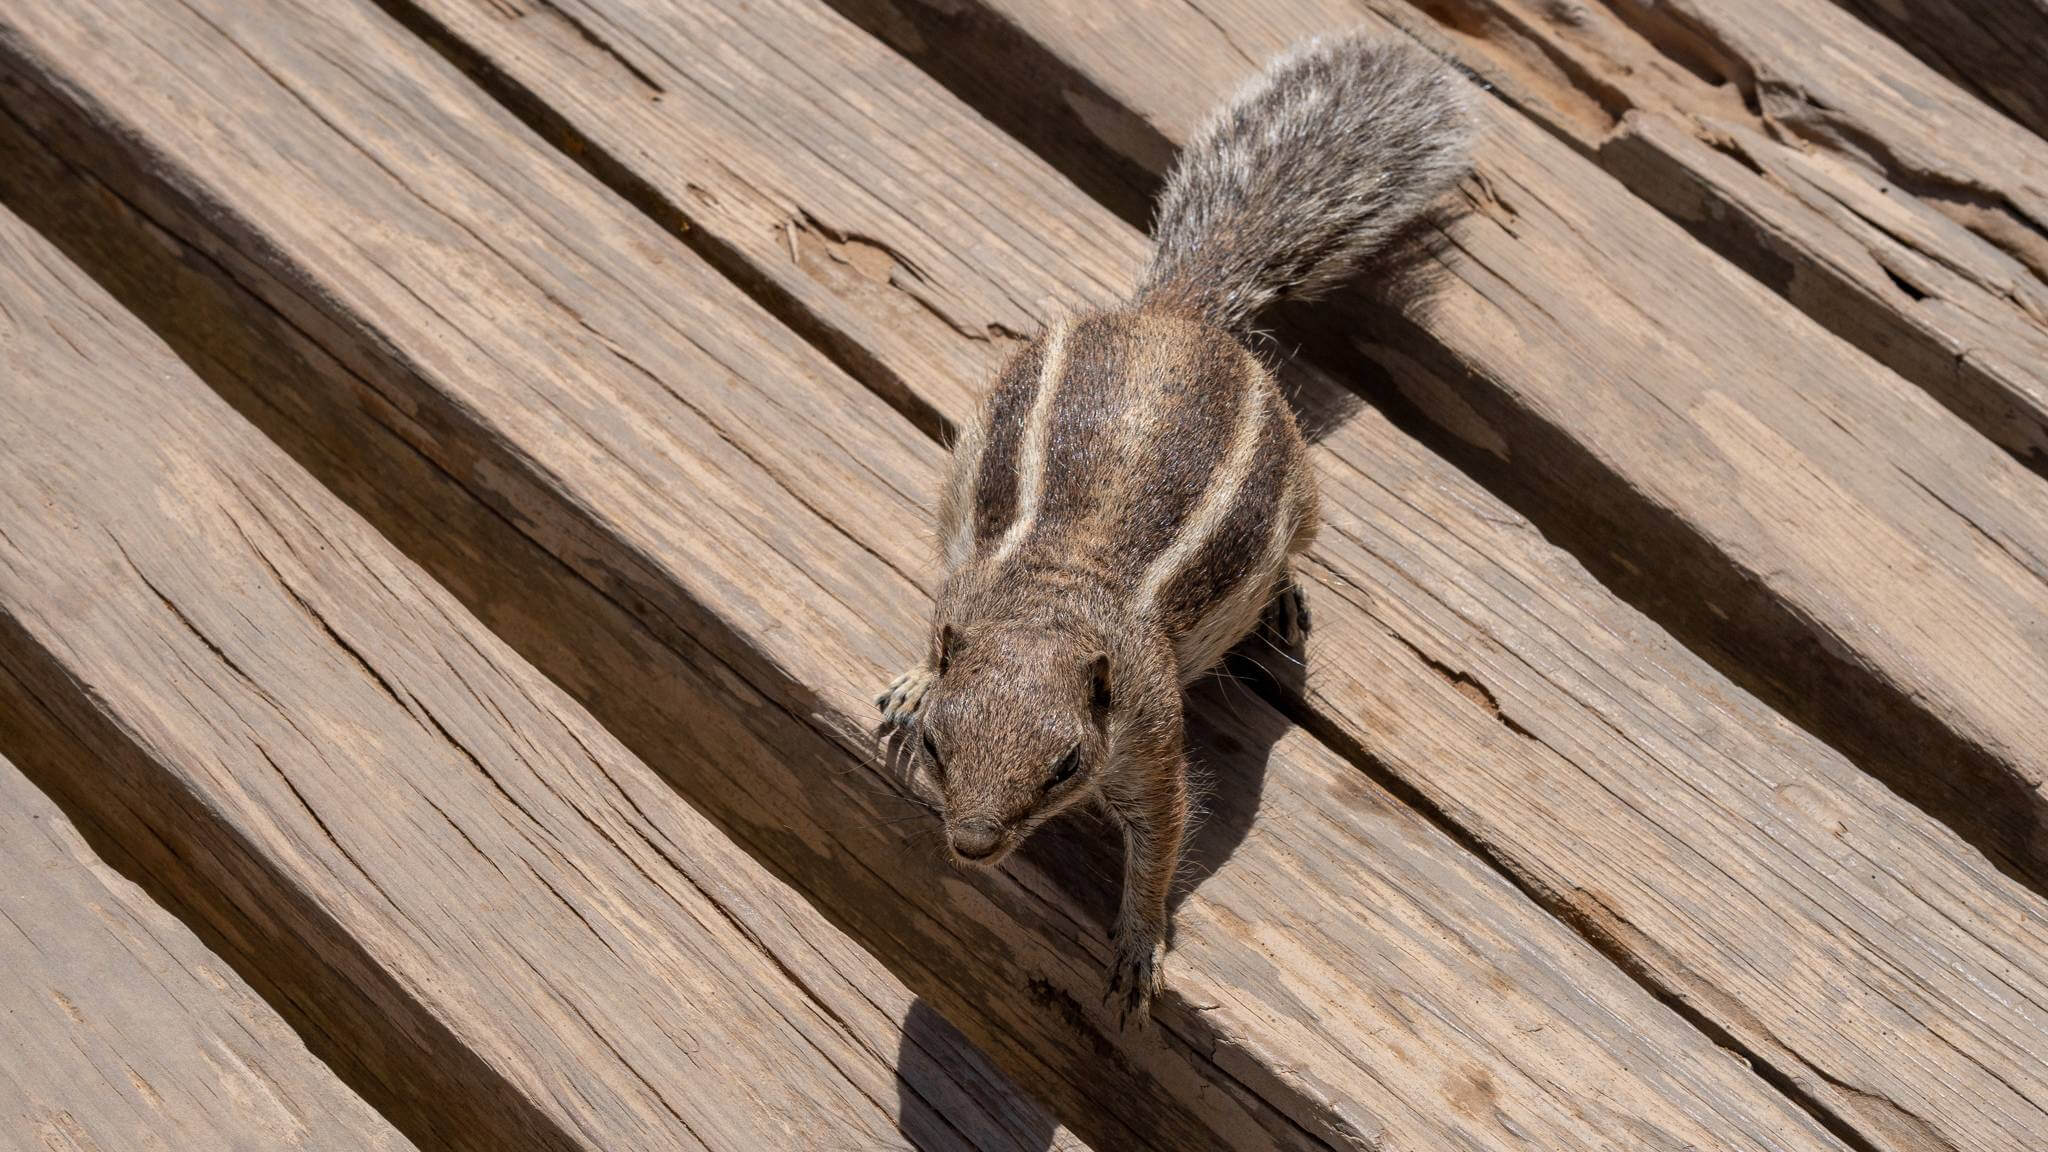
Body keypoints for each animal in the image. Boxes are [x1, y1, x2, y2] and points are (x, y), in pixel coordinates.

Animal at [880, 33, 1474, 1020]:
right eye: (936, 743)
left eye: (1064, 766)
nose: (972, 845)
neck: (1056, 601)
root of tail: (1180, 310)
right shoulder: (962, 597)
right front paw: (912, 683)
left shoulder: (1149, 732)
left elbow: (1163, 837)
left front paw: (1138, 941)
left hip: (1302, 496)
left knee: (1295, 550)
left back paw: (1284, 602)